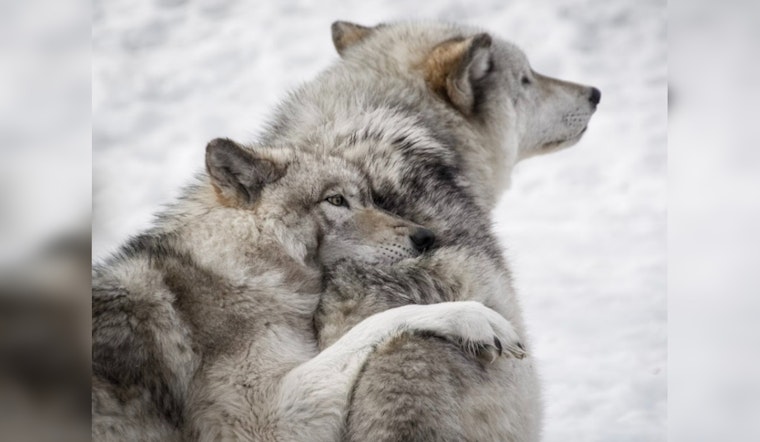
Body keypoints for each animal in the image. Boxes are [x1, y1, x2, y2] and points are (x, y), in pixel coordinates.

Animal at [91, 138, 527, 441]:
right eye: (336, 200)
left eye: (369, 198)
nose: (425, 237)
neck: (239, 268)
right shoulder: (268, 421)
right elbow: (380, 321)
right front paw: (475, 318)